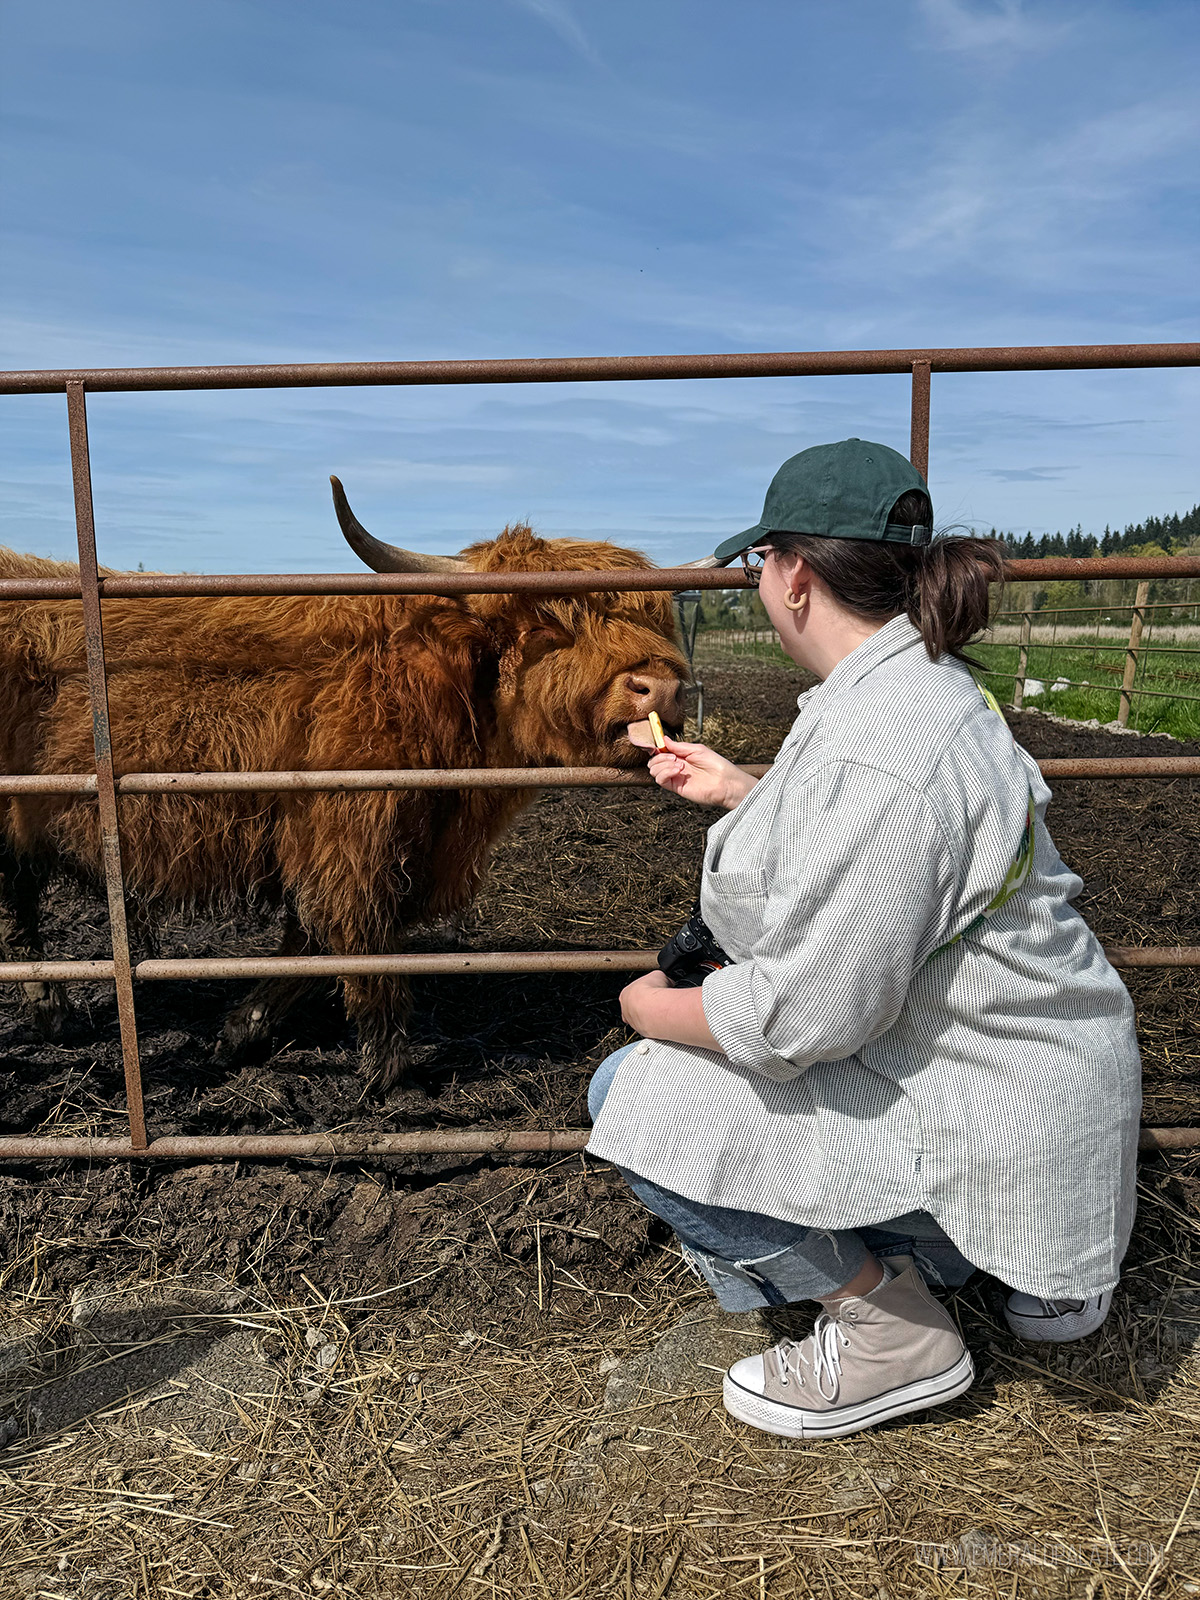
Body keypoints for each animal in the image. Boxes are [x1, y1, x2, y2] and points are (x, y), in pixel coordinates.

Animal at [0, 479, 689, 1090]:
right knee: (19, 898)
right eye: (549, 620)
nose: (659, 686)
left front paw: (242, 1030)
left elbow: (309, 944)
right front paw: (387, 1067)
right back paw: (50, 1006)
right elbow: (355, 940)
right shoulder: (350, 839)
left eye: (655, 619)